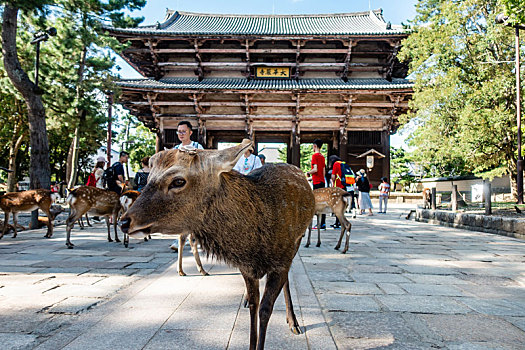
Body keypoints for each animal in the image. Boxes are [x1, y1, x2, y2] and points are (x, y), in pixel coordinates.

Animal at [120, 140, 314, 350]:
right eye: (149, 178)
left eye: (178, 181)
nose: (124, 222)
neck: (253, 247)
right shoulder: (246, 268)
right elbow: (254, 306)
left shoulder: (281, 261)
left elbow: (265, 309)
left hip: (297, 242)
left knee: (287, 281)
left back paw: (293, 322)